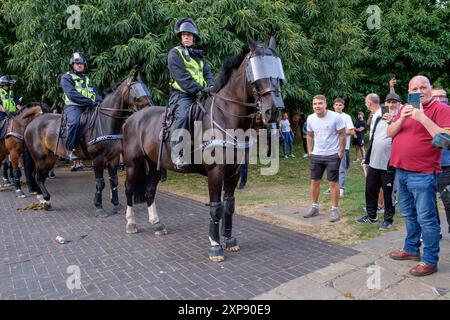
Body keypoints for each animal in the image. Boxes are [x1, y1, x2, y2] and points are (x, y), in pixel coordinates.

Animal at [24, 70, 151, 215]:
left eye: (145, 87)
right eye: (135, 90)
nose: (149, 108)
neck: (106, 121)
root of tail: (30, 125)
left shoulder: (113, 158)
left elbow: (114, 181)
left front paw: (117, 205)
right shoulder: (97, 158)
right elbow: (100, 183)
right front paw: (99, 207)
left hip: (50, 158)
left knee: (41, 176)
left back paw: (44, 200)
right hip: (40, 158)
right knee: (37, 177)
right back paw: (45, 199)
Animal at [122, 37, 284, 262]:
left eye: (277, 69)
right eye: (255, 72)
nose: (274, 110)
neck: (227, 118)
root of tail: (132, 118)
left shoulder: (233, 173)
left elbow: (229, 205)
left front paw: (229, 240)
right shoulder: (215, 173)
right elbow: (216, 208)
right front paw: (215, 246)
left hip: (155, 165)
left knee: (149, 190)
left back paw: (157, 224)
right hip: (132, 163)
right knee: (129, 189)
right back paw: (131, 223)